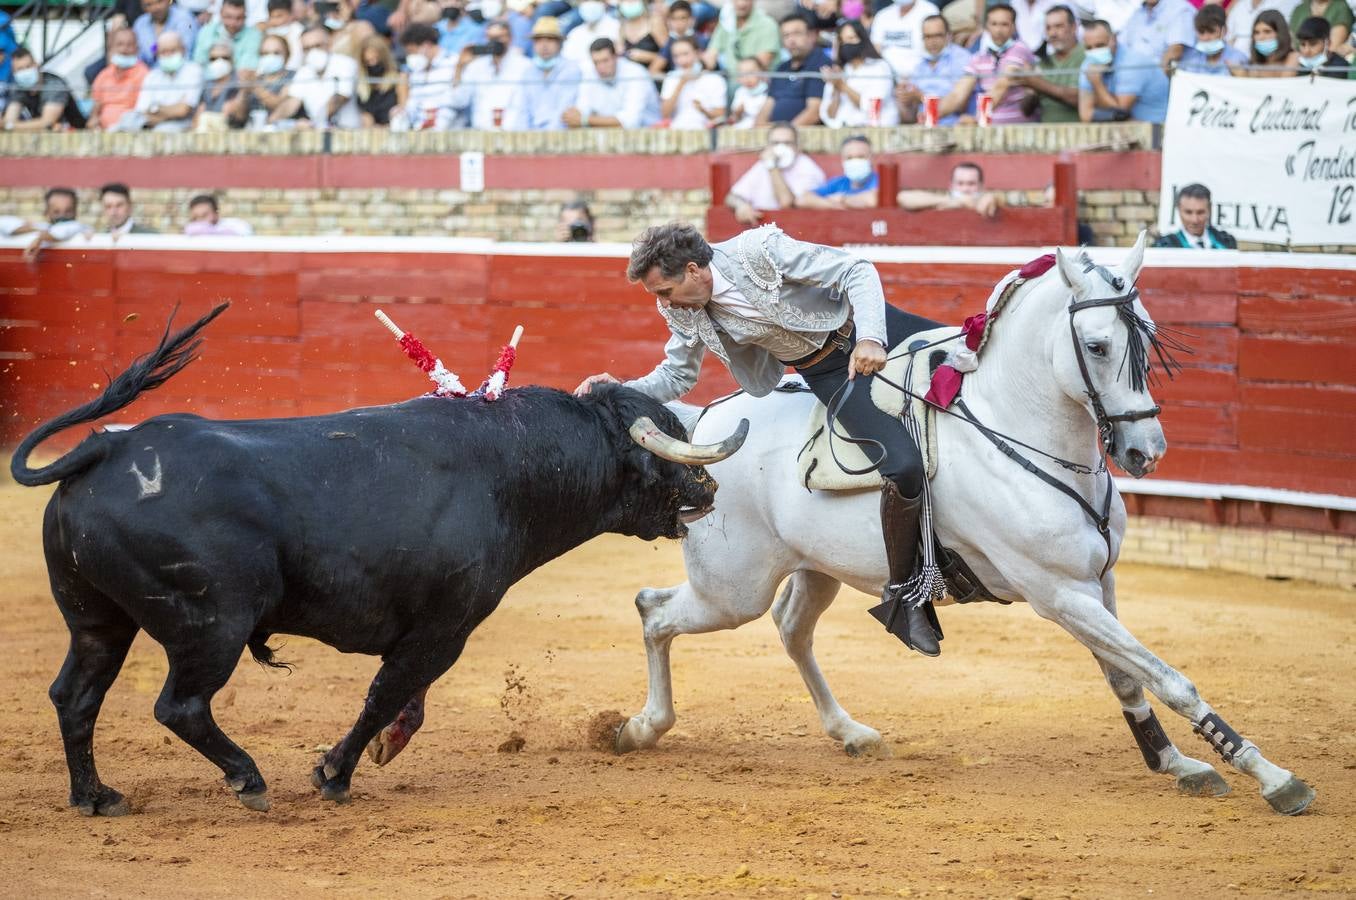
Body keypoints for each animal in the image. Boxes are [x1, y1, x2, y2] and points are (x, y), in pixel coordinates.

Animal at [10, 306, 748, 818]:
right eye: (666, 458)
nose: (710, 490)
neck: (509, 469)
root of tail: (105, 448)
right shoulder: (447, 624)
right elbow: (388, 691)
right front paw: (334, 773)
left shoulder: (434, 626)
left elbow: (406, 699)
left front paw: (380, 748)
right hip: (211, 624)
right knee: (180, 706)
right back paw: (248, 780)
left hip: (98, 620)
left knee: (75, 696)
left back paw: (97, 796)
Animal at [612, 237, 1312, 813]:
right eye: (1096, 346)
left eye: (1148, 335)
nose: (1147, 451)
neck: (1021, 430)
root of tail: (705, 419)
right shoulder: (1059, 593)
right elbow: (1167, 676)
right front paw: (1272, 777)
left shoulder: (1097, 585)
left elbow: (1126, 673)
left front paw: (1176, 763)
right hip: (733, 588)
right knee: (655, 610)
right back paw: (638, 728)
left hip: (813, 569)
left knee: (788, 628)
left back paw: (851, 732)